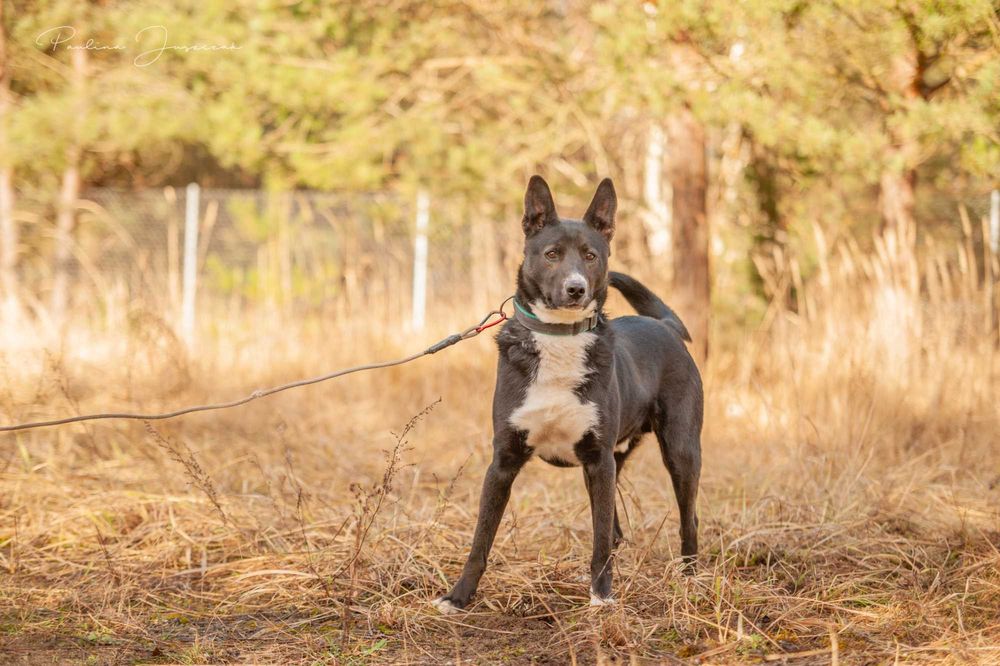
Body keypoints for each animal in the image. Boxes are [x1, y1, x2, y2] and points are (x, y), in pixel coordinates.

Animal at [432, 174, 704, 608]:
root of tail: (665, 325)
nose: (576, 289)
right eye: (552, 254)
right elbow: (480, 541)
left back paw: (691, 579)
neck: (559, 337)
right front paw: (458, 597)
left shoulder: (598, 459)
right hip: (613, 461)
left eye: (591, 256)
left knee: (685, 517)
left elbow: (598, 538)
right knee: (613, 531)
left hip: (679, 450)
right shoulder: (504, 461)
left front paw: (602, 598)